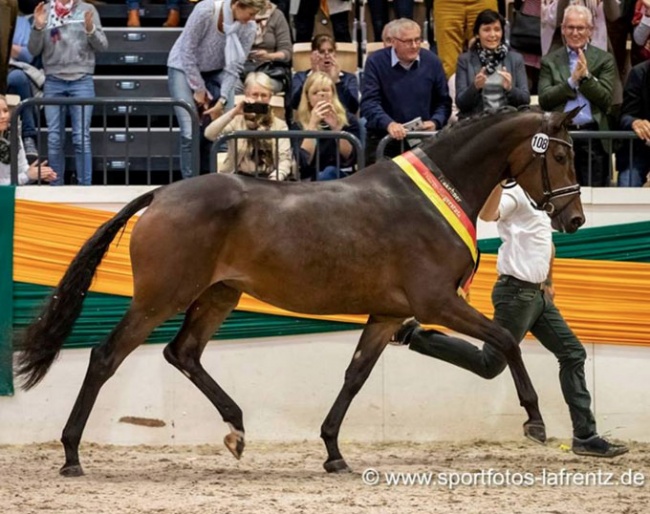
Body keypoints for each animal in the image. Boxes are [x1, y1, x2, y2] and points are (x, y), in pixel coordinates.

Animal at [13, 105, 584, 476]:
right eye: (559, 157)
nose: (575, 218)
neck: (432, 198)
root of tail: (161, 193)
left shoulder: (385, 315)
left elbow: (356, 376)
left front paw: (333, 451)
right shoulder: (438, 302)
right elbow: (506, 343)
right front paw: (535, 421)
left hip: (219, 296)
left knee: (183, 353)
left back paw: (237, 428)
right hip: (161, 298)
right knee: (106, 357)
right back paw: (71, 455)